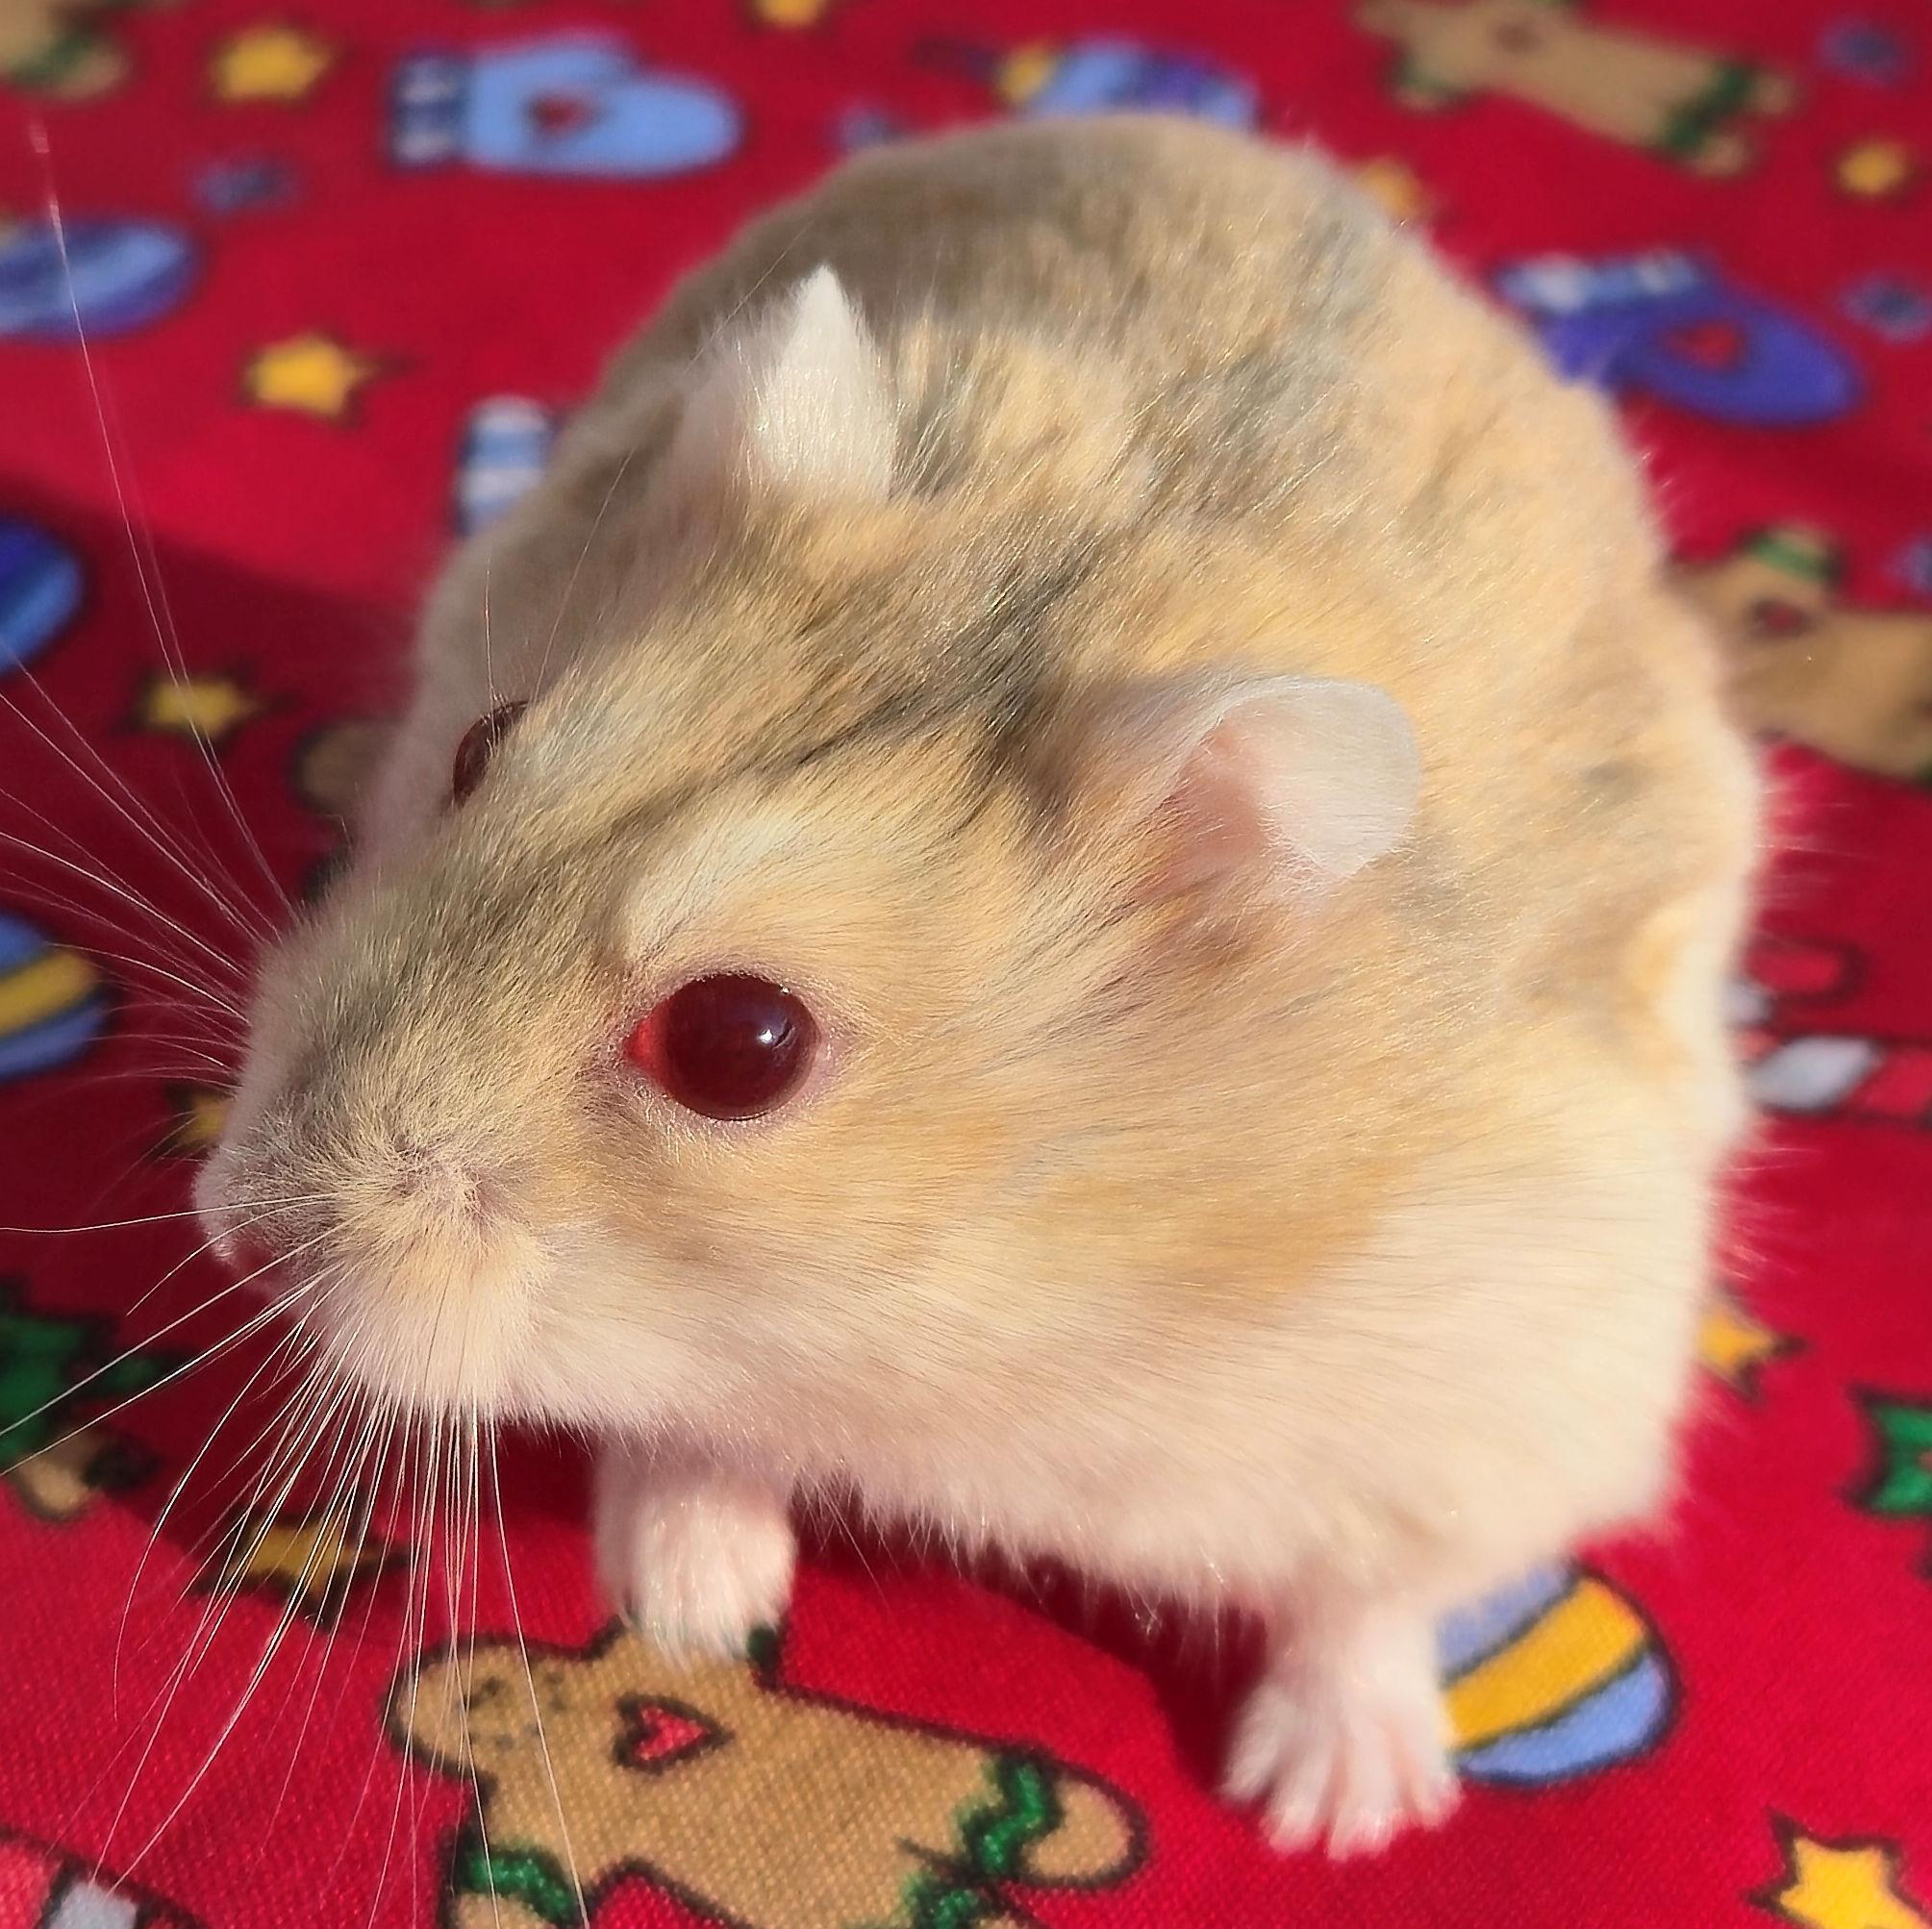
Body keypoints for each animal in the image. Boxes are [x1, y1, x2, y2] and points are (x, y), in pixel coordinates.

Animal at [198, 116, 1758, 1855]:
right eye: (476, 747)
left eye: (736, 1044)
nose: (228, 1224)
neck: (972, 1305)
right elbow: (688, 1430)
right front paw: (692, 1608)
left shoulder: (1495, 1391)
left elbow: (1367, 1600)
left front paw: (1325, 1811)